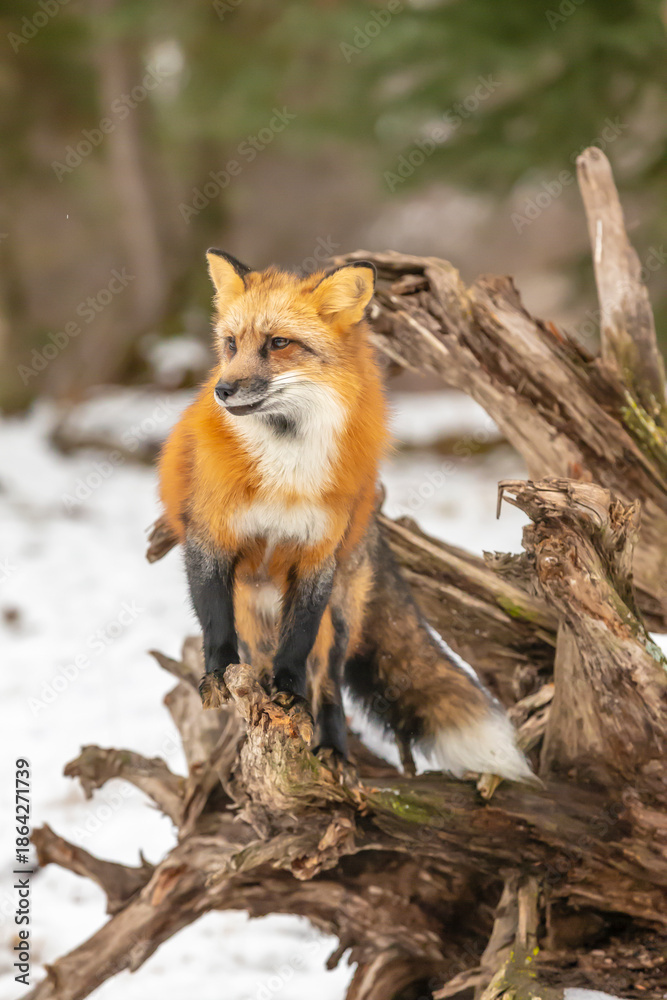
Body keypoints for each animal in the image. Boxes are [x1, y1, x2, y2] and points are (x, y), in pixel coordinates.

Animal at [157, 248, 533, 782]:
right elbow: (214, 619)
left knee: (329, 681)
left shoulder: (318, 556)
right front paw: (217, 673)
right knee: (259, 657)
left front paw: (289, 693)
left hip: (339, 614)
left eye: (278, 343)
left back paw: (331, 746)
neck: (286, 471)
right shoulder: (211, 538)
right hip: (255, 610)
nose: (223, 390)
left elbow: (299, 648)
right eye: (231, 344)